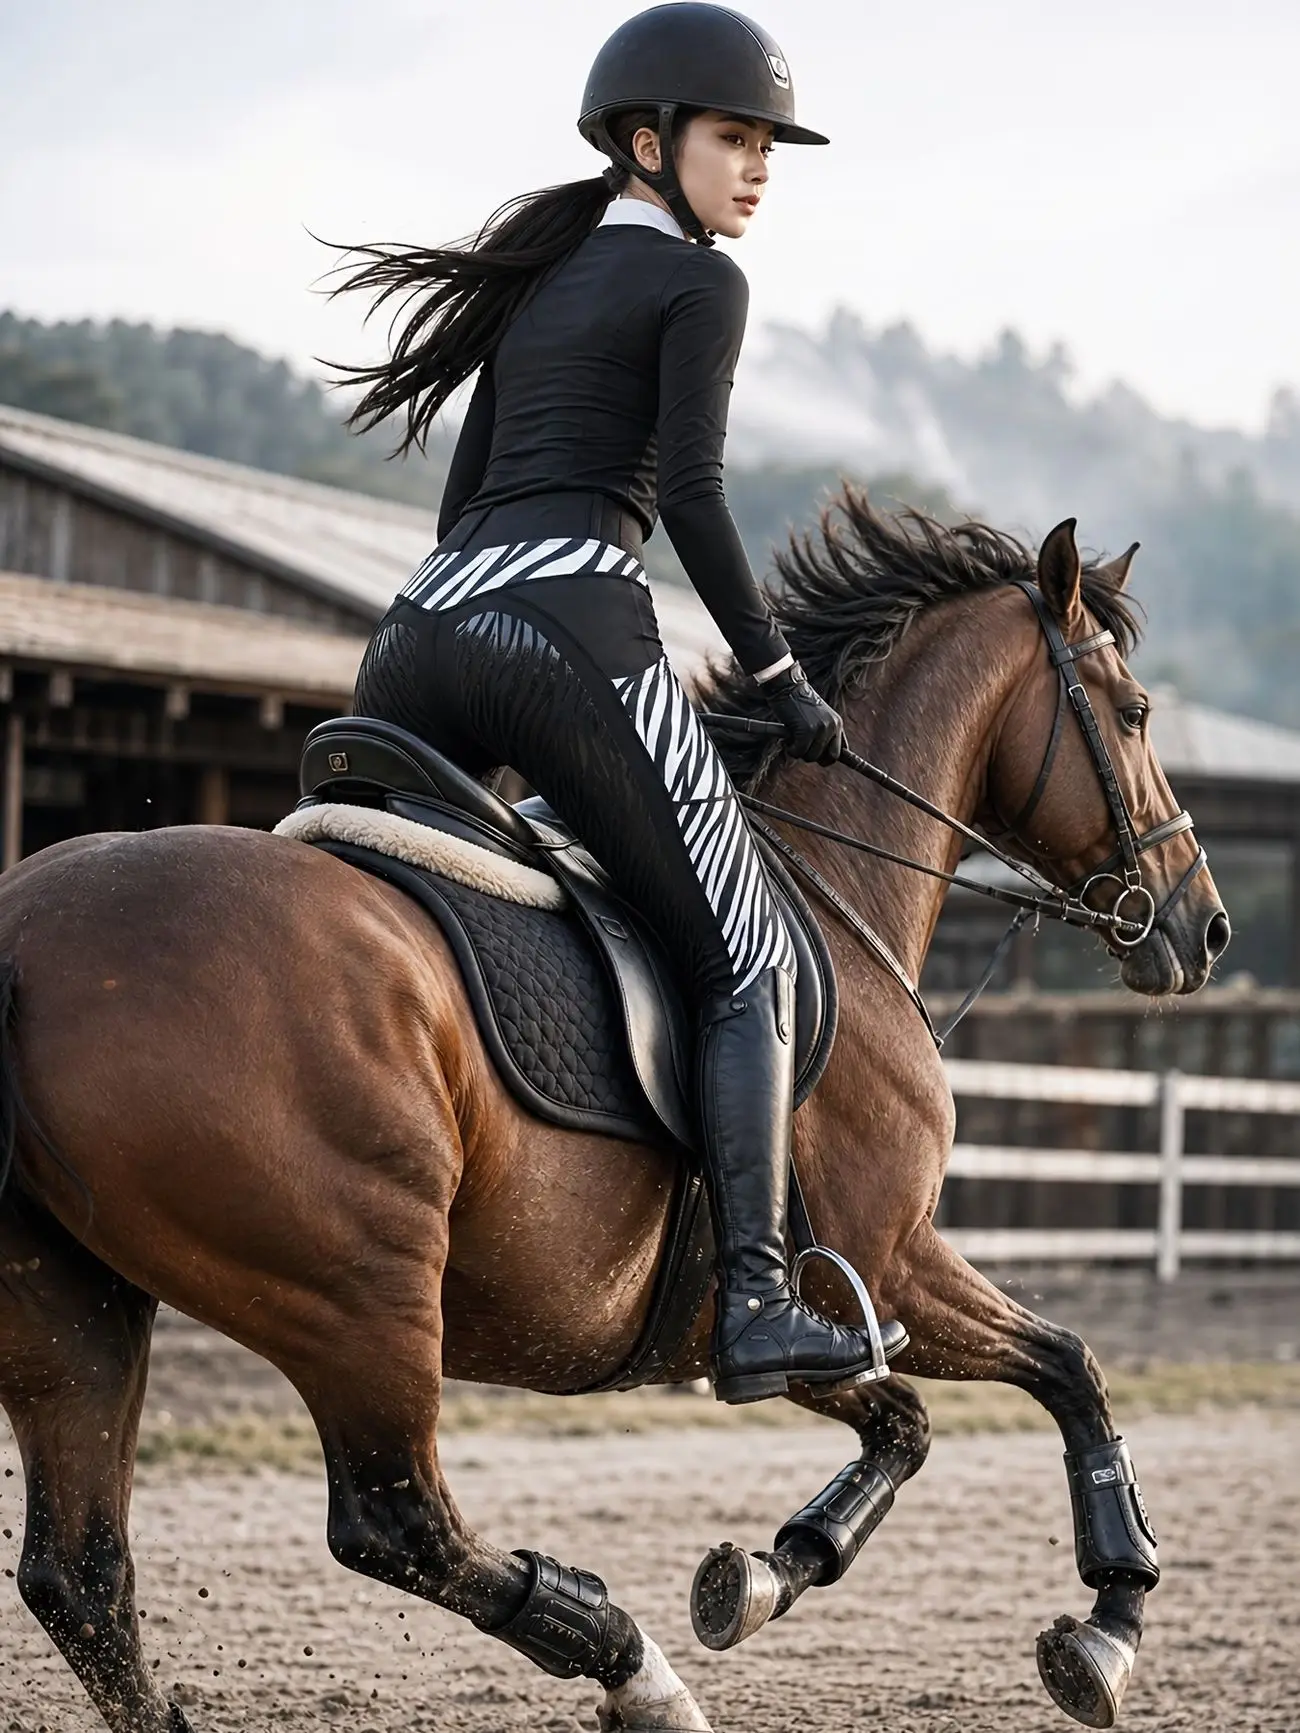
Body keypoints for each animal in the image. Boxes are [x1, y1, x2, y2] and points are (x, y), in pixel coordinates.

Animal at [0, 495, 1228, 1733]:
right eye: (1132, 712)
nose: (1202, 924)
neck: (833, 887)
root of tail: (25, 933)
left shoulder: (798, 1319)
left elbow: (909, 1422)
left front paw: (770, 1569)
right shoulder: (884, 1262)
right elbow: (1066, 1366)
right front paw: (1109, 1621)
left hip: (79, 1309)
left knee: (83, 1574)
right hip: (358, 1298)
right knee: (397, 1524)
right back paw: (636, 1666)